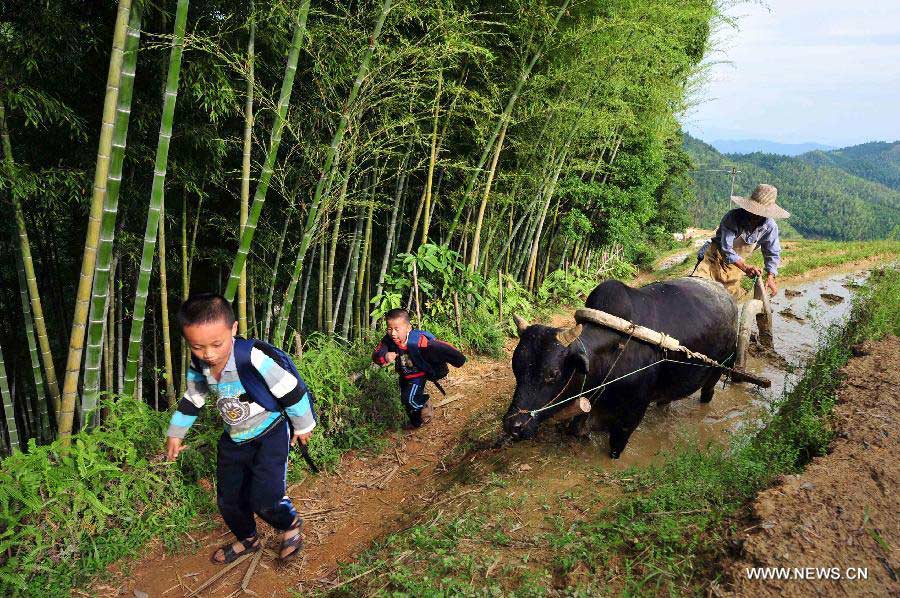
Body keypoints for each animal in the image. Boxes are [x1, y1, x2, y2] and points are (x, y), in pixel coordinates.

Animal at [506, 278, 740, 460]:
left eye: (553, 374)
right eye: (516, 368)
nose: (514, 426)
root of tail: (726, 295)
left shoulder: (633, 413)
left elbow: (616, 446)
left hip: (717, 371)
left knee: (708, 392)